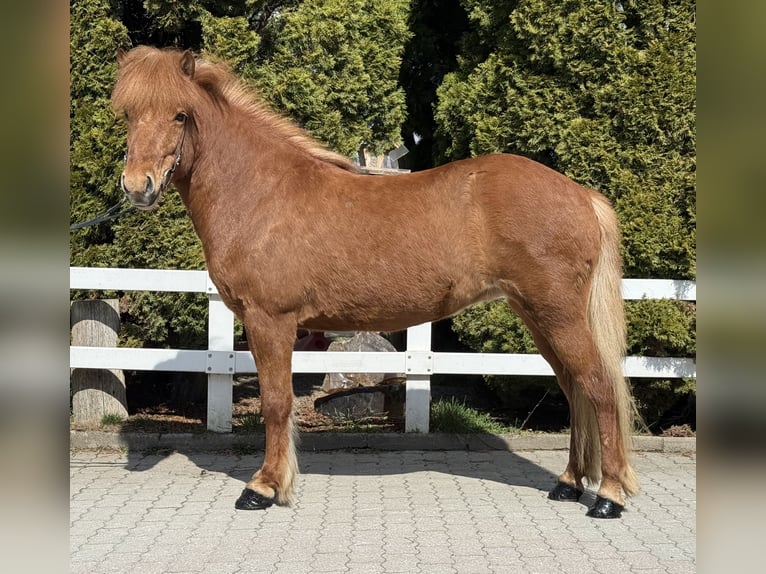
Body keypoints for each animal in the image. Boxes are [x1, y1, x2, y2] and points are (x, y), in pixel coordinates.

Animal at [112, 46, 639, 519]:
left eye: (180, 115)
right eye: (129, 114)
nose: (138, 187)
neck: (261, 192)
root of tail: (582, 194)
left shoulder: (271, 322)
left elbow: (277, 404)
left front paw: (263, 488)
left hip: (557, 314)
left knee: (599, 386)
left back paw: (609, 497)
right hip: (538, 316)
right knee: (575, 389)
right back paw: (570, 485)